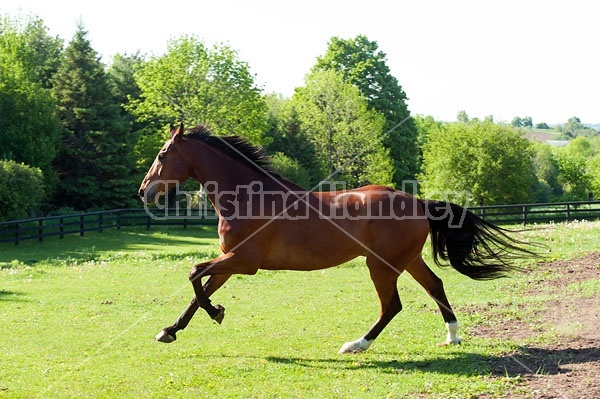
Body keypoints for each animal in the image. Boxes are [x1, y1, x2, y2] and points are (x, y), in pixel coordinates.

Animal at [138, 123, 532, 354]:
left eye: (162, 155)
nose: (144, 191)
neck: (247, 196)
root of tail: (419, 202)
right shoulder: (231, 262)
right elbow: (198, 289)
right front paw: (171, 330)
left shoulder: (244, 263)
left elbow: (193, 273)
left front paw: (216, 313)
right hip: (406, 260)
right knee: (435, 286)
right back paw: (452, 336)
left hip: (381, 264)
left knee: (392, 306)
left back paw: (356, 345)